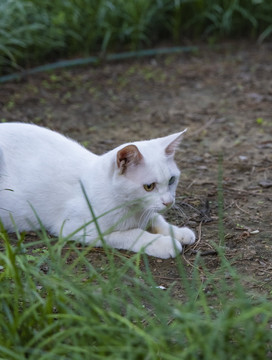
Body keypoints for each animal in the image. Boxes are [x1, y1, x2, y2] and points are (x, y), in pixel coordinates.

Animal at [0, 122, 196, 258]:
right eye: (149, 186)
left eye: (171, 180)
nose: (169, 202)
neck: (131, 209)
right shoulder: (78, 228)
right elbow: (132, 234)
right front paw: (164, 243)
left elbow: (156, 219)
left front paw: (179, 232)